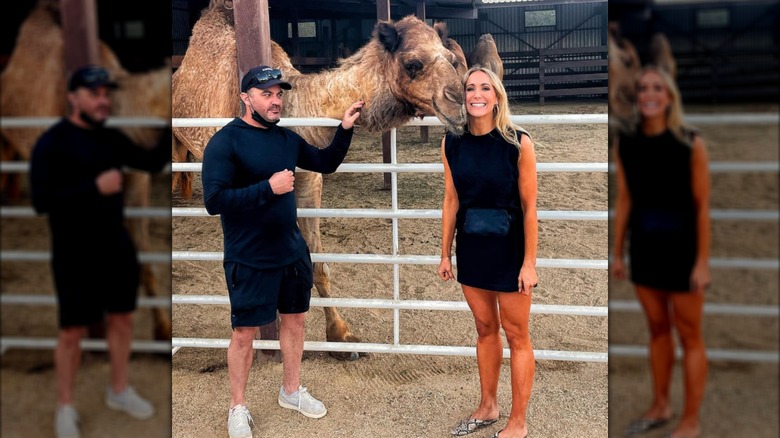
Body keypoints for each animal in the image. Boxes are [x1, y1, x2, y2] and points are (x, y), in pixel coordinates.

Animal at [172, 0, 467, 360]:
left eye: (452, 59)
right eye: (413, 63)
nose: (460, 104)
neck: (291, 111)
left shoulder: (308, 180)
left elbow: (319, 262)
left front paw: (341, 337)